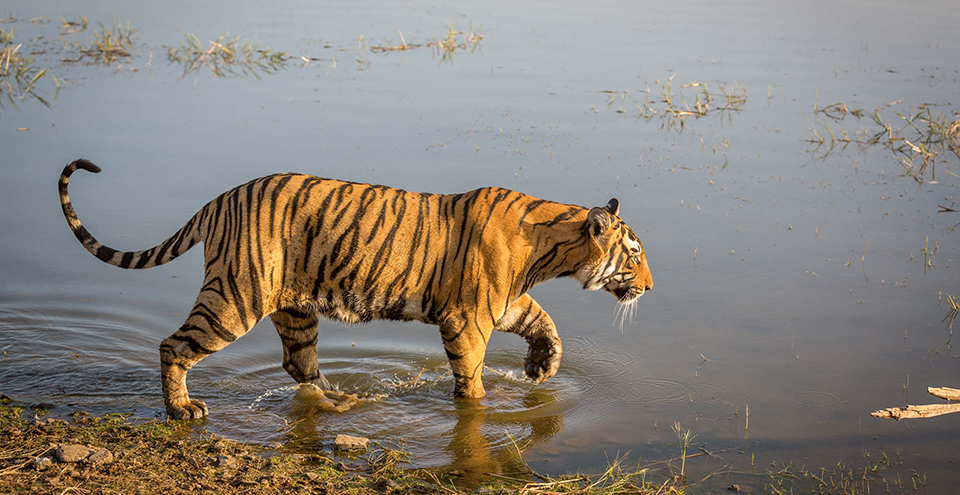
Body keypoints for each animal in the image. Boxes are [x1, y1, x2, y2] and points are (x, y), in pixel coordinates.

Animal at [58, 158, 653, 419]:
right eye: (635, 254)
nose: (649, 286)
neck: (550, 248)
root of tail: (220, 199)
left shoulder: (503, 303)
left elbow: (544, 323)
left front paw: (540, 368)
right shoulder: (468, 318)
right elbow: (472, 376)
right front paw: (486, 402)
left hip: (294, 309)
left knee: (299, 366)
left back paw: (342, 401)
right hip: (235, 297)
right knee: (173, 345)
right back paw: (182, 409)